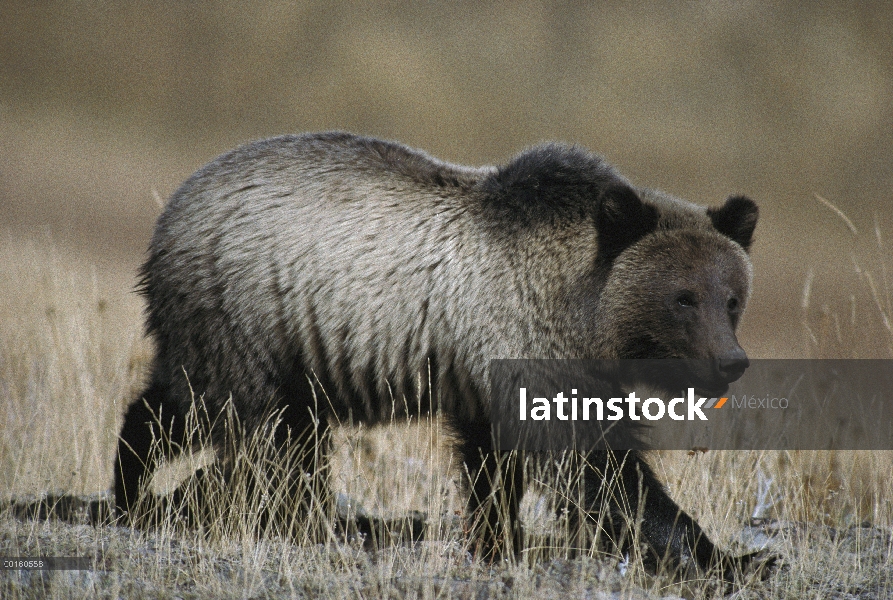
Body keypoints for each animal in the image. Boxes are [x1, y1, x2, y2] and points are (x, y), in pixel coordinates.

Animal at [115, 131, 764, 580]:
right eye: (683, 298)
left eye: (731, 298)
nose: (731, 361)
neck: (582, 310)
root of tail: (175, 206)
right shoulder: (526, 339)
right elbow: (594, 464)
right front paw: (719, 556)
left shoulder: (486, 371)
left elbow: (493, 464)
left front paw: (497, 541)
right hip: (247, 316)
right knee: (248, 428)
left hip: (275, 344)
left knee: (182, 406)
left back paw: (135, 484)